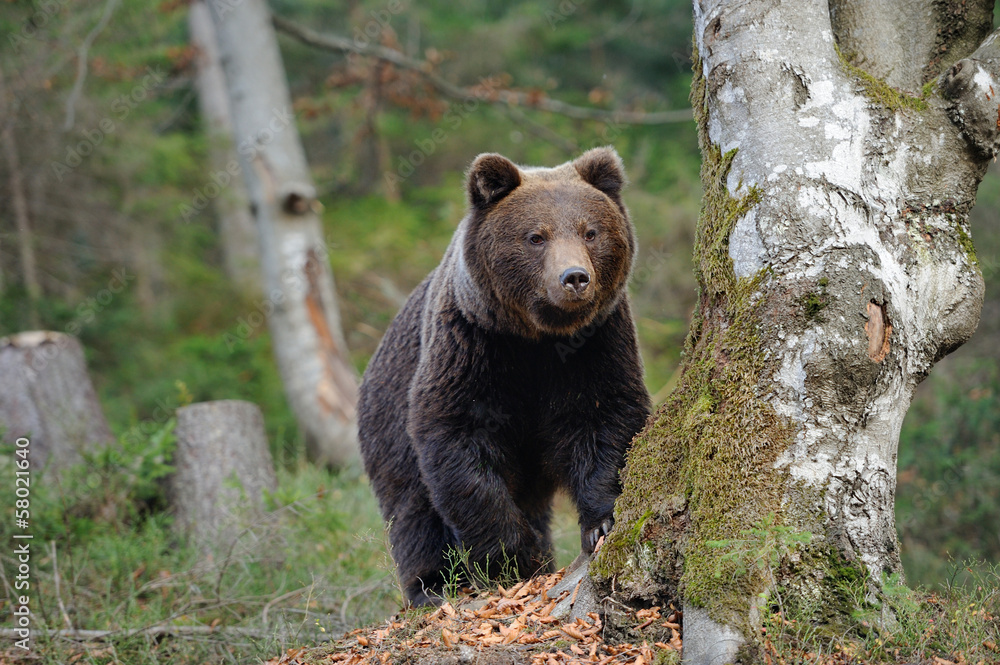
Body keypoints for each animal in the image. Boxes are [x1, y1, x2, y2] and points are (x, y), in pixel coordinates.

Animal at [358, 146, 651, 607]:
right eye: (536, 236)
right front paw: (511, 556)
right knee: (412, 508)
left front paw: (600, 523)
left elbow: (607, 418)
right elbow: (460, 445)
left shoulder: (597, 343)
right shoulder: (471, 346)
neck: (537, 338)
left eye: (590, 232)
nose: (574, 278)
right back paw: (432, 586)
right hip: (388, 418)